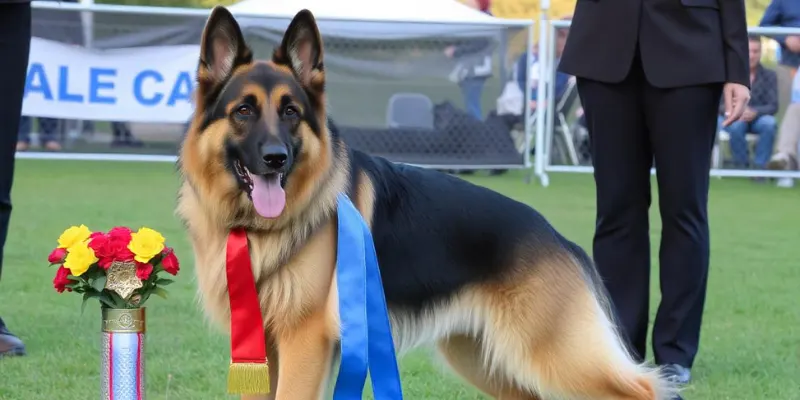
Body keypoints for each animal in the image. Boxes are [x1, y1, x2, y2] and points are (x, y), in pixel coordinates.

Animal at [177, 6, 676, 400]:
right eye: (243, 111)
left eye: (290, 113)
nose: (276, 158)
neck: (261, 227)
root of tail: (559, 238)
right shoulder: (263, 350)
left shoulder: (303, 343)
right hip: (481, 357)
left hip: (558, 355)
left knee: (644, 390)